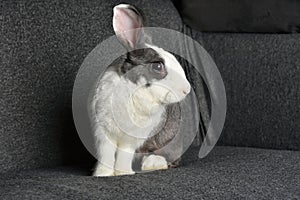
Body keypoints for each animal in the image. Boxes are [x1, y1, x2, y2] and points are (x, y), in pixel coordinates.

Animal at [89, 3, 191, 177]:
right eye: (158, 66)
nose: (187, 89)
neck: (135, 89)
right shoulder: (104, 132)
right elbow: (106, 154)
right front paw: (102, 174)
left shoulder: (132, 139)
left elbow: (124, 153)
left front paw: (123, 172)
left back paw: (153, 163)